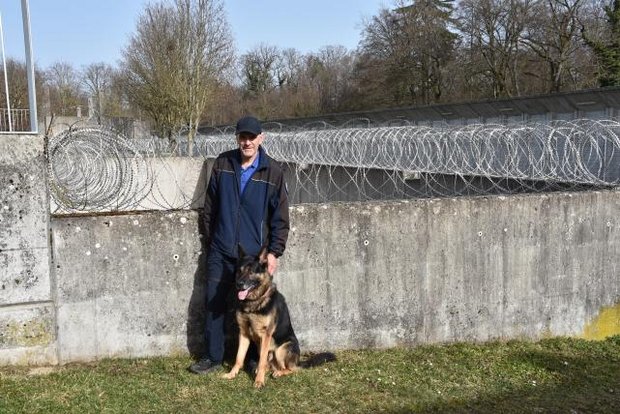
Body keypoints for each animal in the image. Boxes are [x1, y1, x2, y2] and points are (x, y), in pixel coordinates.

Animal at [223, 246, 334, 388]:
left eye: (251, 271)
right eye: (239, 271)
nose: (239, 284)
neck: (254, 302)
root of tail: (297, 361)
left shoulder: (266, 335)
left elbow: (261, 361)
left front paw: (259, 381)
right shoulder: (243, 333)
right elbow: (239, 358)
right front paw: (232, 374)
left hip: (281, 349)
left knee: (291, 369)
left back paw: (278, 372)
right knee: (270, 365)